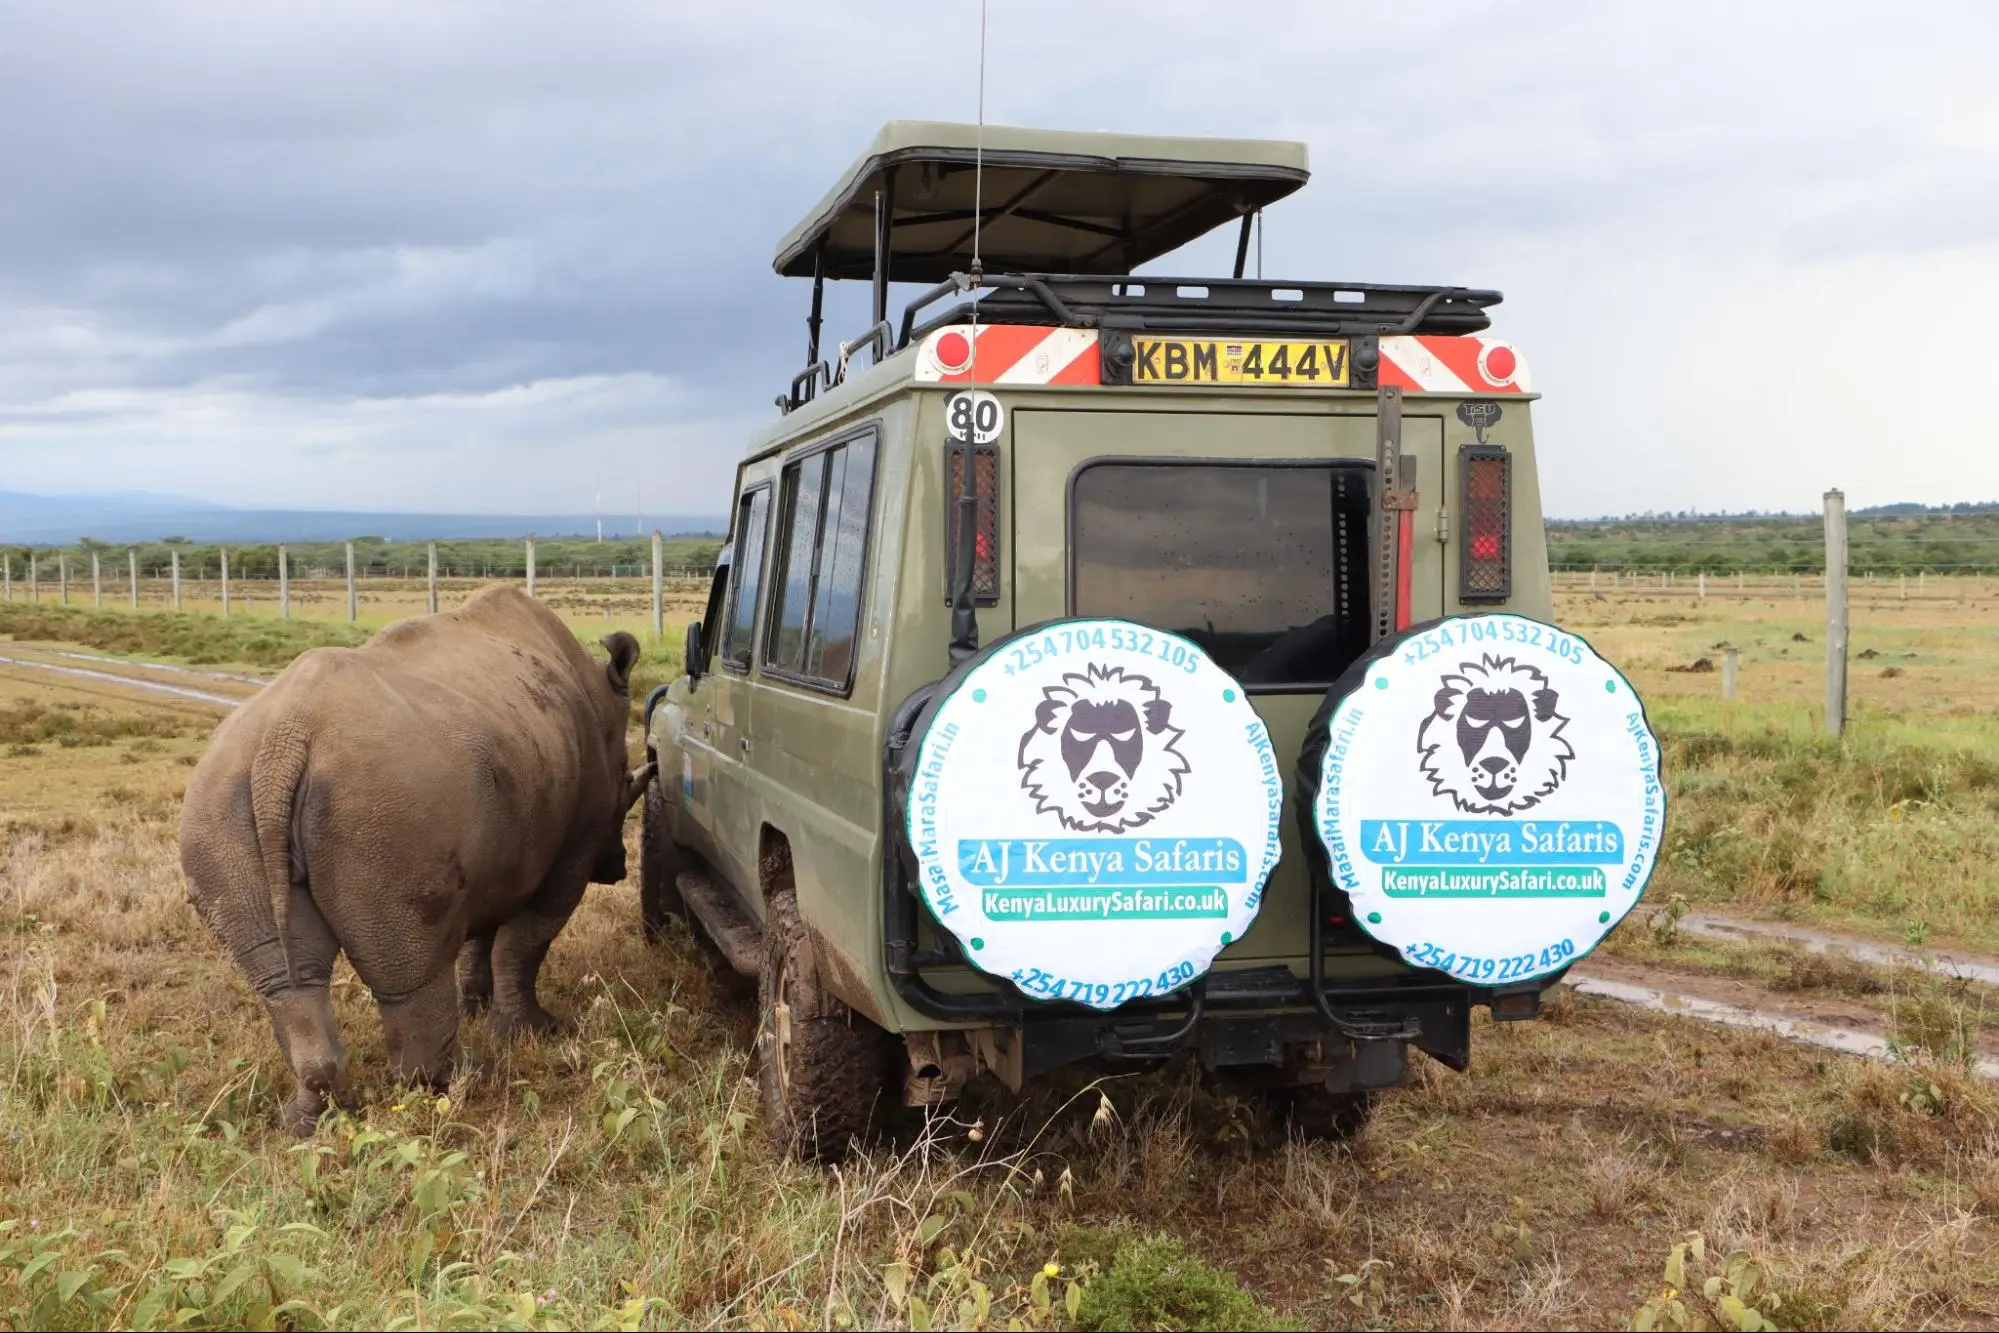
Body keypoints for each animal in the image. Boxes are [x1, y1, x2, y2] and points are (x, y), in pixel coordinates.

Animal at [179, 584, 655, 1134]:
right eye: (627, 782)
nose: (616, 868)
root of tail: (283, 742)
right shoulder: (571, 847)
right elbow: (525, 941)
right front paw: (534, 1033)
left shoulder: (503, 844)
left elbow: (484, 935)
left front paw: (479, 1007)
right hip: (387, 800)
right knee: (412, 965)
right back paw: (456, 1084)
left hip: (219, 804)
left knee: (286, 980)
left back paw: (310, 1119)